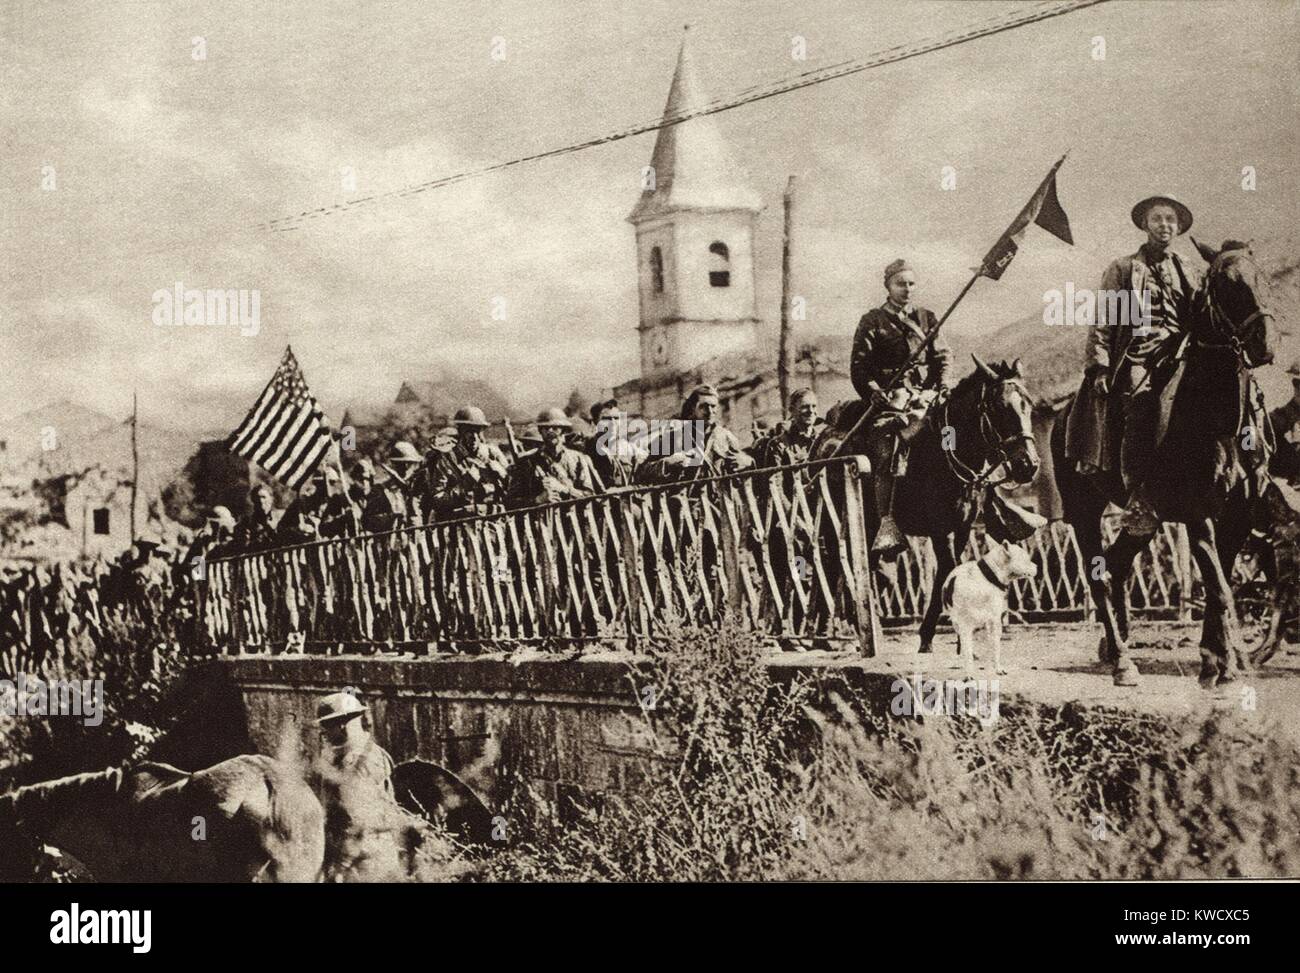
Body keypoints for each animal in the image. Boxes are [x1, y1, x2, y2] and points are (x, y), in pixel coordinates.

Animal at [816, 356, 1040, 653]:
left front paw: (941, 635)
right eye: (999, 407)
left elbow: (949, 569)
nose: (1029, 465)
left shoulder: (961, 527)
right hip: (836, 521)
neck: (944, 450)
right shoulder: (939, 529)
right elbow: (949, 567)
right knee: (832, 562)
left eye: (1029, 405)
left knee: (867, 566)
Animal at [941, 538, 1040, 671]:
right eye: (1026, 559)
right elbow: (975, 647)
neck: (988, 578)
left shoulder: (992, 620)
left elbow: (993, 644)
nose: (1037, 566)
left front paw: (994, 666)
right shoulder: (972, 622)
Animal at [1050, 238, 1274, 686]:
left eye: (1261, 277)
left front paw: (1217, 661)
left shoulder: (1238, 515)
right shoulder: (1197, 513)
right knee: (1099, 576)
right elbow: (1220, 587)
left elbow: (1218, 583)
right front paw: (1229, 663)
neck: (1216, 418)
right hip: (1084, 512)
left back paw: (1112, 646)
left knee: (1116, 568)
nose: (1264, 344)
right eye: (1226, 283)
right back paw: (1122, 661)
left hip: (1145, 520)